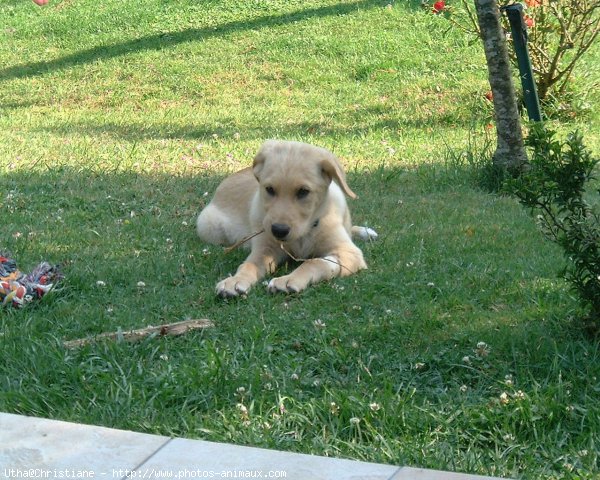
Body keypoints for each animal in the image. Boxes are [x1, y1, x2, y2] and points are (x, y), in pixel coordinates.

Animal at [197, 139, 376, 296]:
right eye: (269, 189)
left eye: (303, 191)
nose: (278, 230)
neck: (304, 234)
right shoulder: (264, 248)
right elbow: (248, 265)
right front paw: (235, 280)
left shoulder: (350, 253)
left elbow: (314, 262)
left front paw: (288, 280)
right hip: (209, 227)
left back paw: (365, 232)